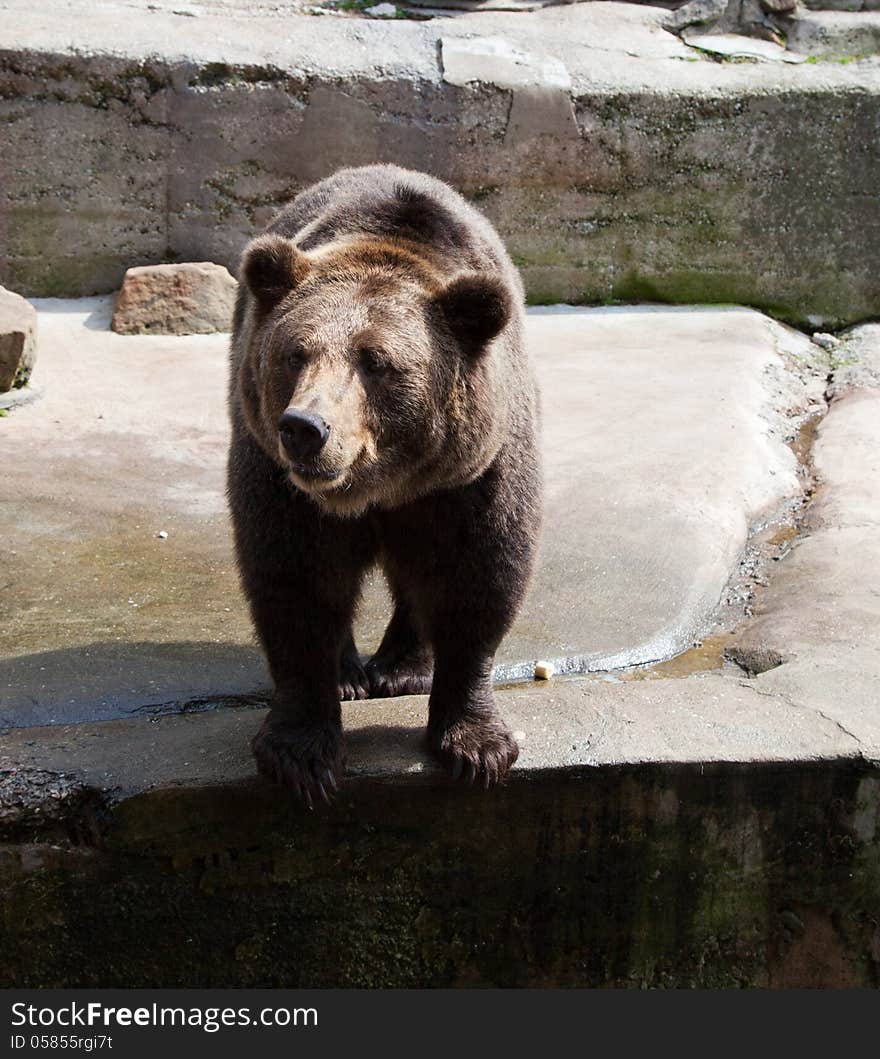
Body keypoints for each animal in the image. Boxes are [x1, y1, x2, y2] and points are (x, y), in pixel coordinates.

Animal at [226, 163, 540, 800]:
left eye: (376, 361)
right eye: (295, 353)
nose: (305, 428)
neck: (380, 486)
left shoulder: (472, 478)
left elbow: (480, 576)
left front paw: (476, 746)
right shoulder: (281, 485)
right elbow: (295, 581)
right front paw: (302, 755)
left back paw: (402, 668)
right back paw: (350, 674)